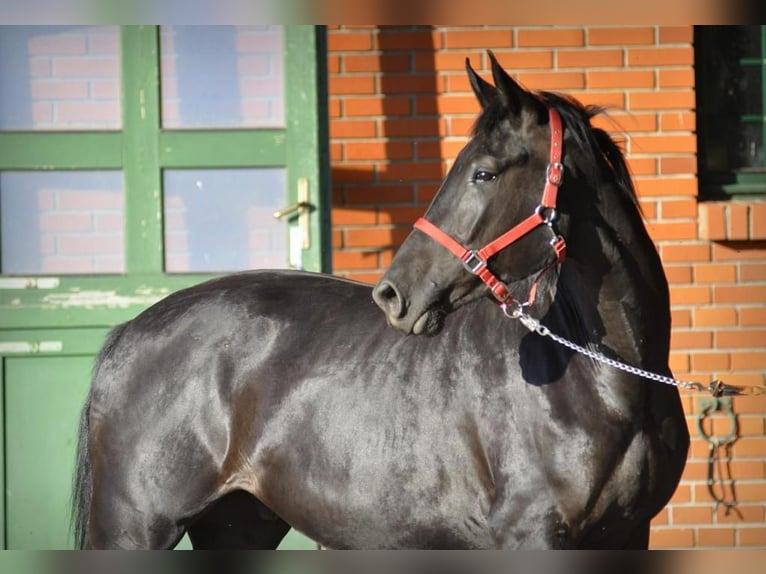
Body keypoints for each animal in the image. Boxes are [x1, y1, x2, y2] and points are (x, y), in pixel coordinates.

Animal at [73, 55, 688, 552]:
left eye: (485, 172)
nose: (392, 295)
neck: (604, 383)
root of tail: (129, 331)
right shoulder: (532, 536)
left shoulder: (629, 536)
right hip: (134, 529)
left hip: (238, 524)